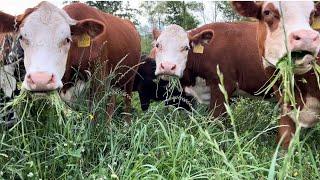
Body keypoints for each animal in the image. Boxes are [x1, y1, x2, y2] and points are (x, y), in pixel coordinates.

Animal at [0, 1, 141, 123]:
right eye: (21, 37)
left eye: (67, 39)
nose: (41, 80)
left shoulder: (98, 81)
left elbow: (94, 119)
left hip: (130, 77)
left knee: (127, 100)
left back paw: (126, 124)